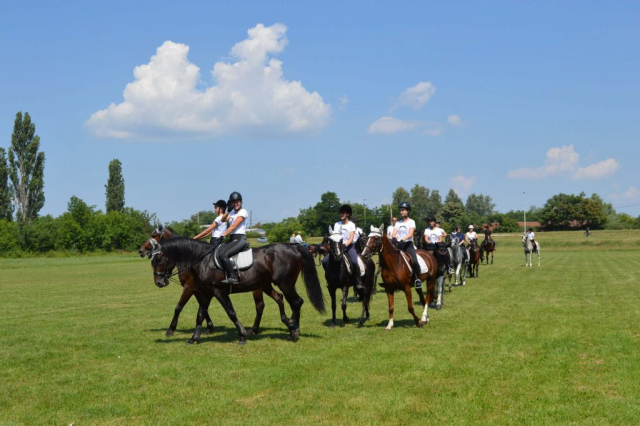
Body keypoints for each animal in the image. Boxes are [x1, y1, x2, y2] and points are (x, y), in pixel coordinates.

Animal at [148, 238, 322, 344]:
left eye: (159, 259)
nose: (158, 282)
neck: (202, 259)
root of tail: (294, 247)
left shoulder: (218, 292)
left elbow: (231, 313)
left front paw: (242, 336)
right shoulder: (206, 293)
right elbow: (200, 315)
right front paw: (194, 338)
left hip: (285, 284)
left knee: (296, 302)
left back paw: (294, 331)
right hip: (272, 285)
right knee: (284, 300)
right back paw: (290, 326)